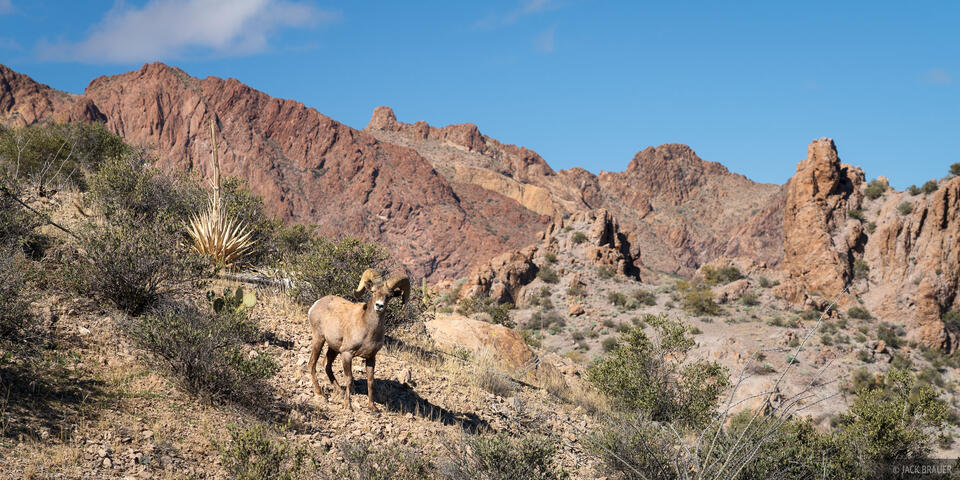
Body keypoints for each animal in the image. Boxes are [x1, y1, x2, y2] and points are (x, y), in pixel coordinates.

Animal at [307, 269, 410, 412]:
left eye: (388, 296)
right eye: (373, 292)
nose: (379, 306)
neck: (368, 331)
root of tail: (316, 304)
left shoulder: (371, 357)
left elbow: (370, 381)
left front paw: (372, 408)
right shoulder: (347, 354)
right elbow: (349, 379)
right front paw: (348, 406)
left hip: (333, 348)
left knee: (326, 365)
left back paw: (339, 392)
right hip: (319, 339)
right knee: (312, 364)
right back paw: (320, 393)